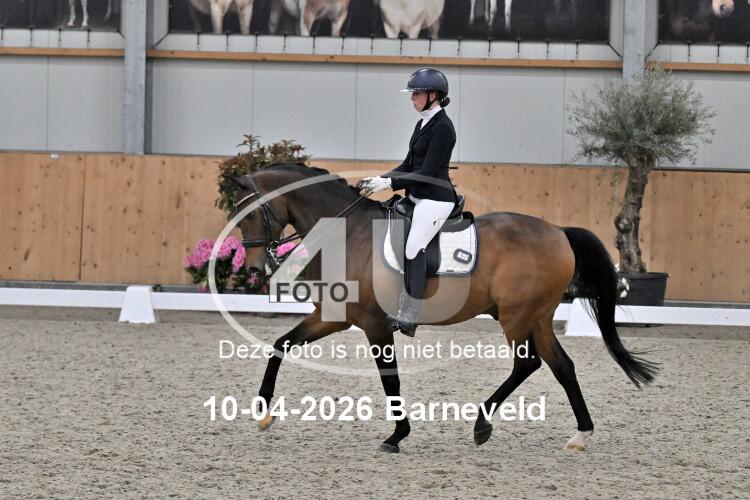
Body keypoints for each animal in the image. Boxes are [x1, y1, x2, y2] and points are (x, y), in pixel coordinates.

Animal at [230, 163, 657, 453]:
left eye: (249, 214)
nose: (252, 269)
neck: (349, 235)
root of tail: (558, 232)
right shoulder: (334, 318)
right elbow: (280, 345)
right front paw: (263, 412)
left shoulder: (374, 324)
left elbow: (390, 380)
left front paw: (397, 435)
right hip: (536, 316)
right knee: (561, 366)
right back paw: (581, 433)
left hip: (517, 316)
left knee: (528, 364)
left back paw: (481, 426)